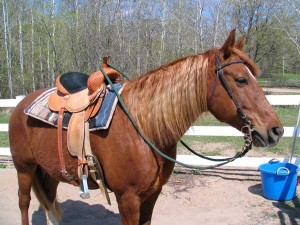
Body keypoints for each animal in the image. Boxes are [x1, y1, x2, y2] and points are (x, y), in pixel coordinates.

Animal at [8, 30, 282, 225]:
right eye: (241, 80)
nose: (276, 130)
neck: (143, 128)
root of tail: (20, 103)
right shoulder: (128, 199)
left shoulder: (152, 195)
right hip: (24, 167)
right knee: (23, 202)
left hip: (50, 170)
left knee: (49, 201)